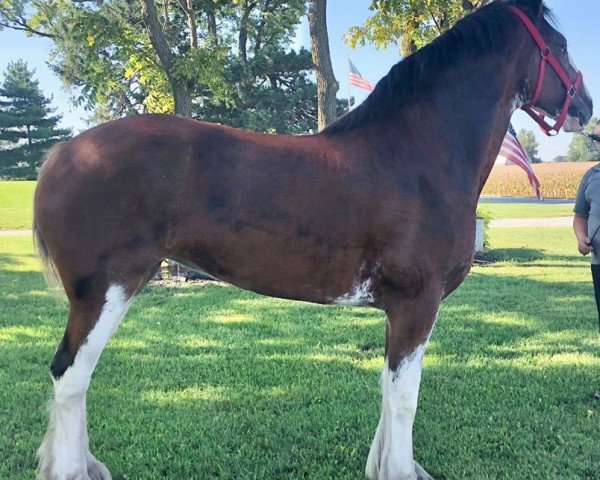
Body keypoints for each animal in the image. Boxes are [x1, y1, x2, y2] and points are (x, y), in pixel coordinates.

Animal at [32, 0, 592, 480]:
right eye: (561, 45)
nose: (585, 106)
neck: (419, 154)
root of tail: (63, 154)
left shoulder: (398, 310)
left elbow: (387, 387)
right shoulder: (418, 302)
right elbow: (405, 396)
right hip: (105, 291)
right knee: (71, 376)